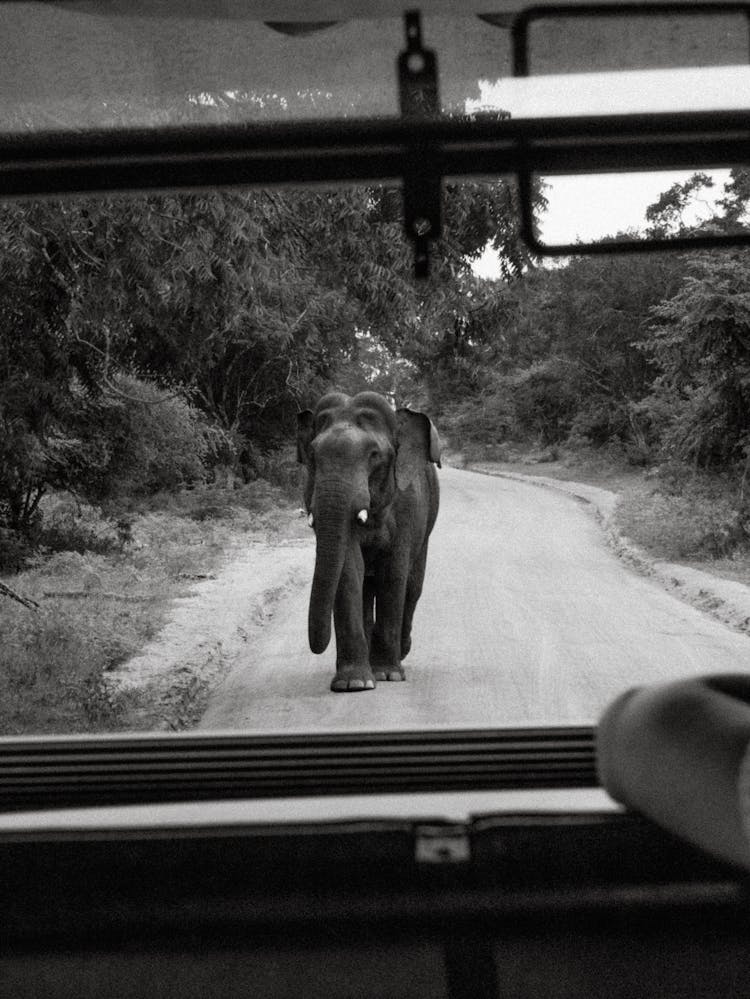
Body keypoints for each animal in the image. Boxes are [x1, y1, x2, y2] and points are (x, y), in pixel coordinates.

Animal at [298, 392, 440, 696]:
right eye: (313, 455)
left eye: (374, 455)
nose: (317, 646)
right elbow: (349, 570)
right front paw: (354, 684)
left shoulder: (408, 506)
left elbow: (393, 573)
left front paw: (388, 674)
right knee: (366, 587)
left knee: (413, 586)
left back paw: (400, 653)